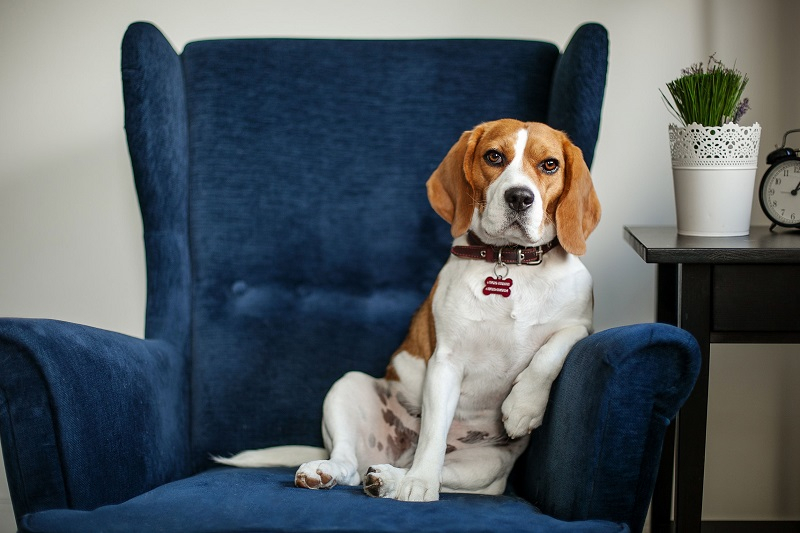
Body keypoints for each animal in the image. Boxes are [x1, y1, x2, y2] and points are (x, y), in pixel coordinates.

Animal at [217, 118, 600, 500]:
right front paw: (421, 484)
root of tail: (398, 453)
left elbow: (557, 345)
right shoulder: (446, 364)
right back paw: (337, 472)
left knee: (433, 472)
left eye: (549, 164)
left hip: (486, 467)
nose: (519, 197)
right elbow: (432, 437)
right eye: (494, 156)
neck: (511, 264)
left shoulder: (582, 324)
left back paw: (389, 478)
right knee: (350, 463)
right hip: (348, 386)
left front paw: (523, 406)